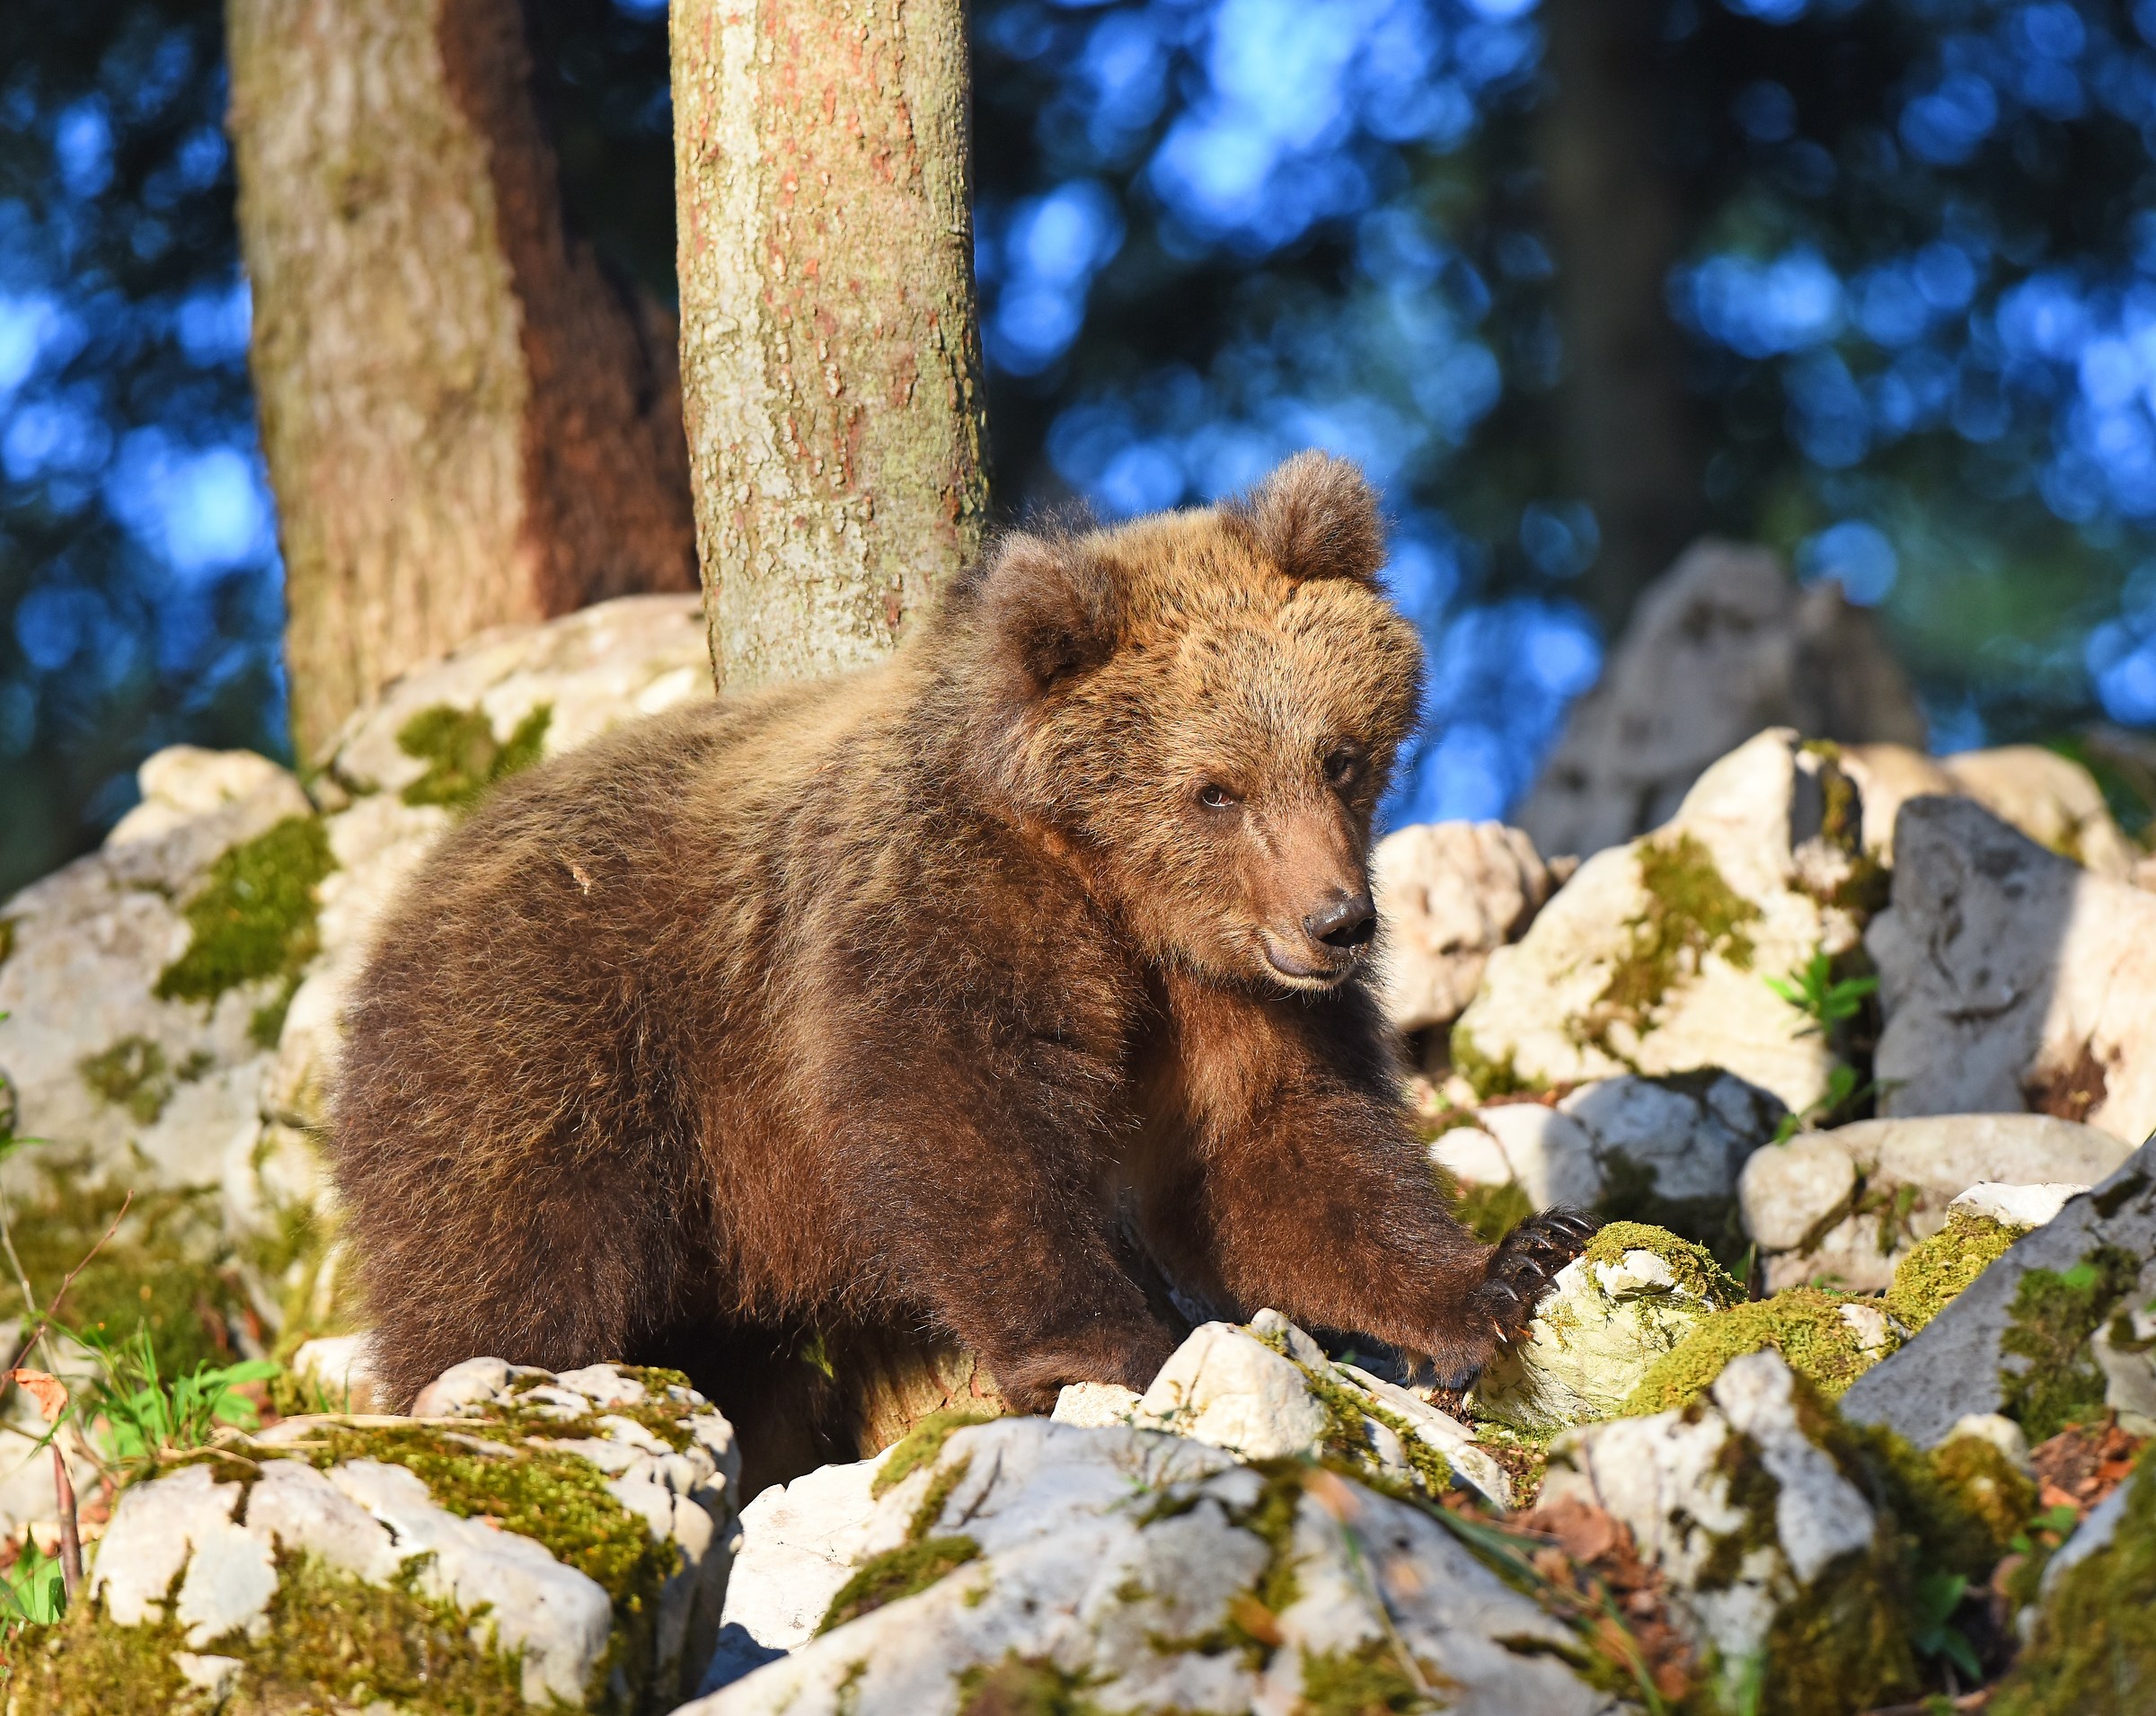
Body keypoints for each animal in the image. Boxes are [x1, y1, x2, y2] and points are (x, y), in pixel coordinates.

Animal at [330, 452, 1594, 1431]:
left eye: (1339, 755)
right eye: (1214, 790)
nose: (1336, 922)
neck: (1116, 894)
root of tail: (423, 879)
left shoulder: (1231, 996)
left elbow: (1279, 1150)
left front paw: (1509, 1264)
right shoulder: (942, 905)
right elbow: (957, 1113)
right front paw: (1115, 1344)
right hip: (553, 1050)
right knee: (514, 1265)